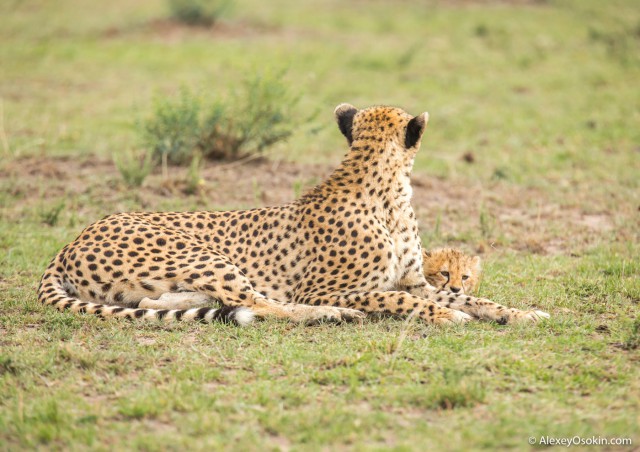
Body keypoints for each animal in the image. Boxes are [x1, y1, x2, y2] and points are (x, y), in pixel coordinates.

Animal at [38, 104, 552, 326]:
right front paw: (449, 317)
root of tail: (69, 242)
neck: (387, 193)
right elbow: (399, 300)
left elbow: (471, 298)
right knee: (262, 304)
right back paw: (332, 315)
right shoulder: (340, 287)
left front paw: (522, 312)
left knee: (161, 302)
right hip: (203, 255)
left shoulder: (416, 280)